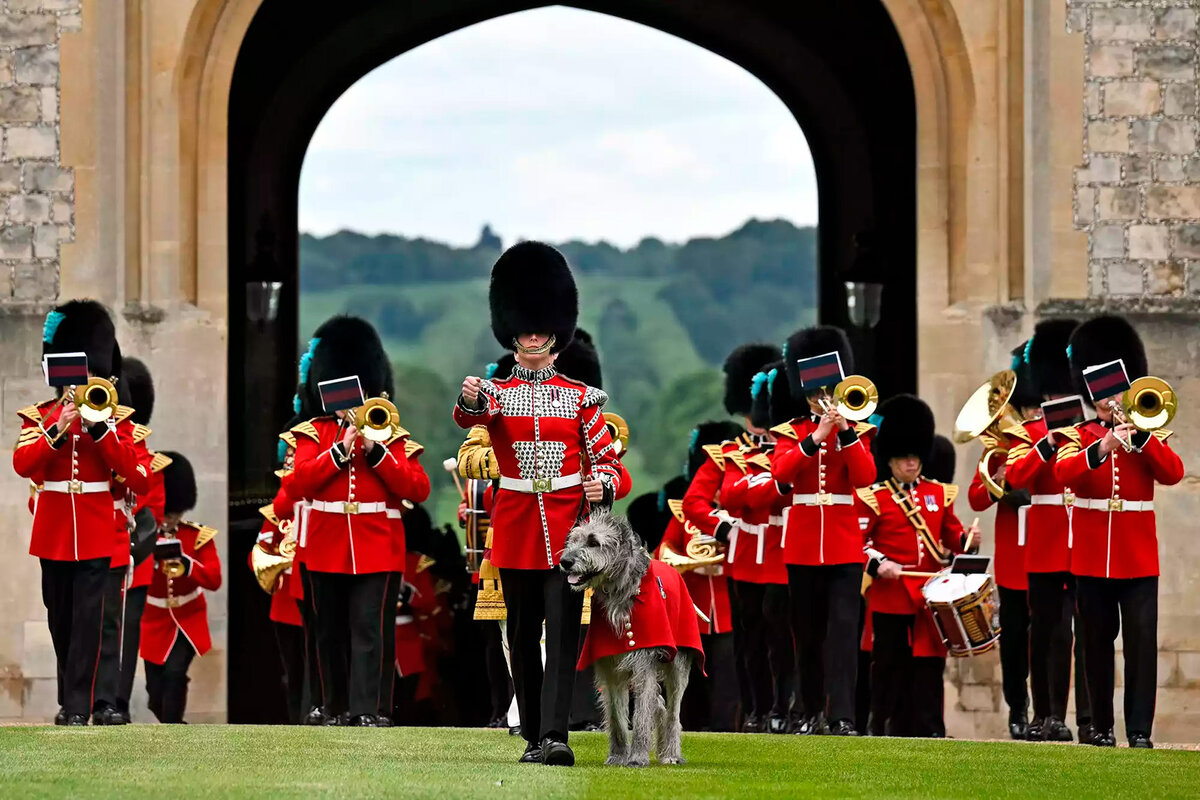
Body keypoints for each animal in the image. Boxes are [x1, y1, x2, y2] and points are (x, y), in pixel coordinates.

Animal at [556, 513, 691, 767]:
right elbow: (616, 716)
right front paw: (618, 756)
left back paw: (670, 753)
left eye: (593, 542)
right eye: (573, 540)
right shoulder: (610, 667)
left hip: (678, 665)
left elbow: (640, 715)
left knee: (672, 711)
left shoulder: (644, 664)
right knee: (659, 703)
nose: (565, 561)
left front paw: (637, 757)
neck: (619, 592)